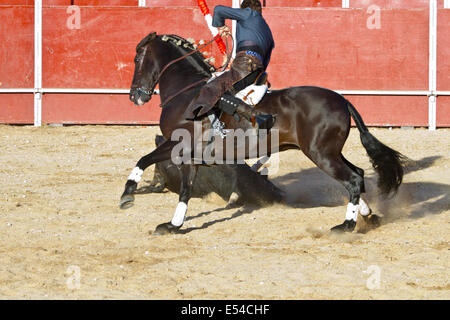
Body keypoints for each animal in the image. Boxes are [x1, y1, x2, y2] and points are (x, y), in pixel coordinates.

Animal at [119, 32, 404, 235]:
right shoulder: (190, 156)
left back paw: (346, 226)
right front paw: (173, 226)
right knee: (357, 175)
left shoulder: (177, 144)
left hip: (321, 154)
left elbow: (145, 159)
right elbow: (185, 190)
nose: (135, 96)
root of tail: (342, 100)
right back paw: (367, 217)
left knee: (353, 179)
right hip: (330, 152)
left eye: (136, 59)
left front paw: (128, 193)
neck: (187, 92)